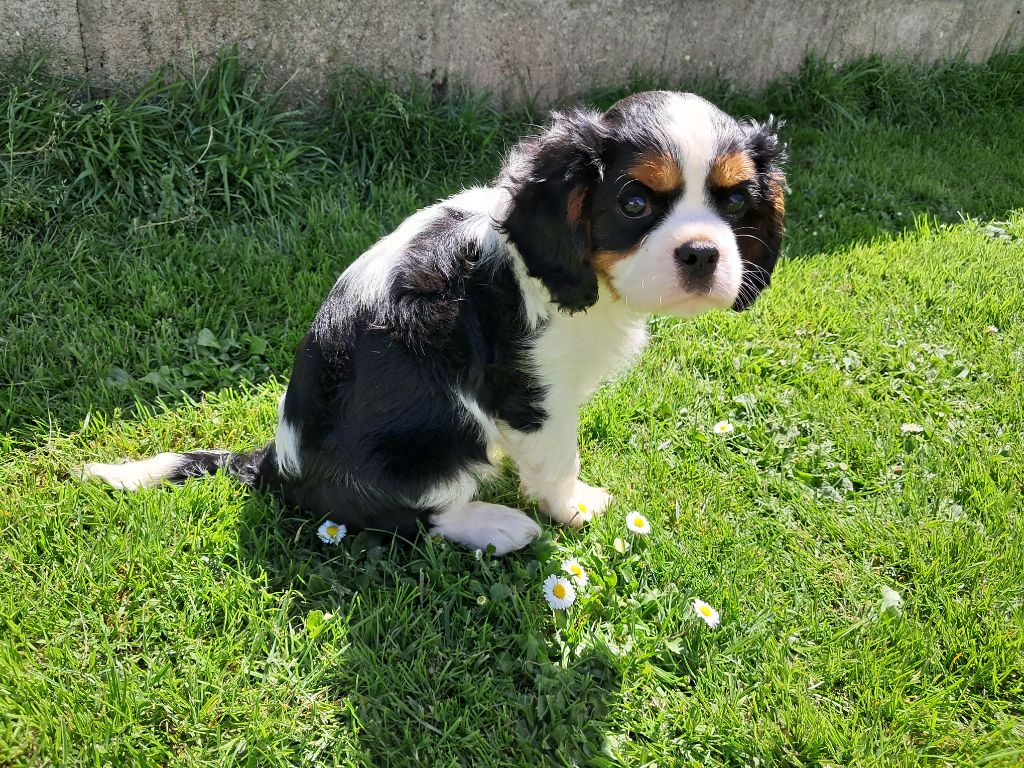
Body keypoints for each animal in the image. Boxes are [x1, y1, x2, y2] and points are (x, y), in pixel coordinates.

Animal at [85, 91, 786, 555]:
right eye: (634, 202)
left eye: (736, 202)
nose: (702, 254)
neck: (588, 279)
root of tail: (277, 465)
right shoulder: (530, 389)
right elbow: (557, 456)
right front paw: (571, 506)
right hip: (436, 441)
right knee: (406, 515)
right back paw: (496, 524)